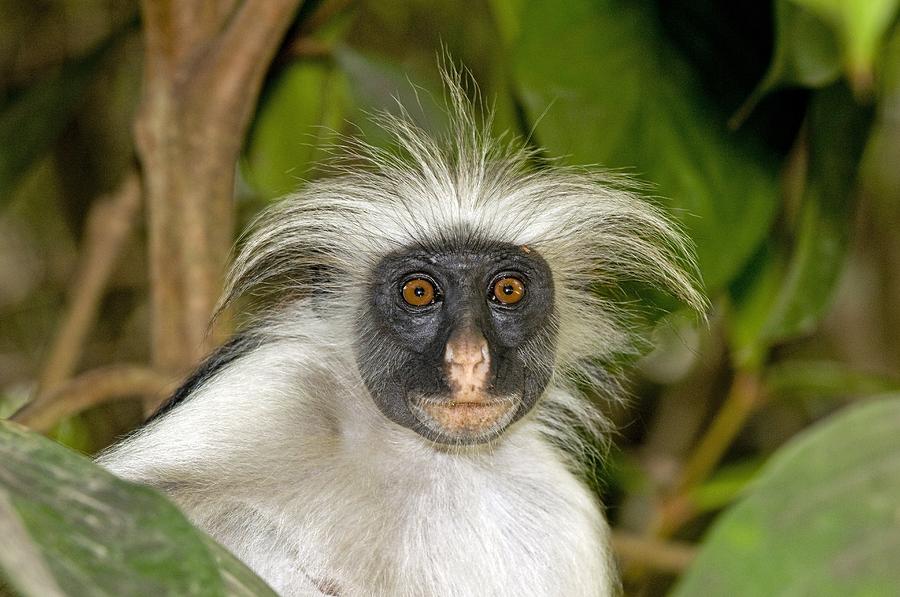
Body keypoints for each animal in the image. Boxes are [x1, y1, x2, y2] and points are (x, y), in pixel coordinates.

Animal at [96, 80, 704, 596]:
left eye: (507, 291)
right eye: (418, 293)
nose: (469, 361)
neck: (423, 457)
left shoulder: (559, 517)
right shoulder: (275, 387)